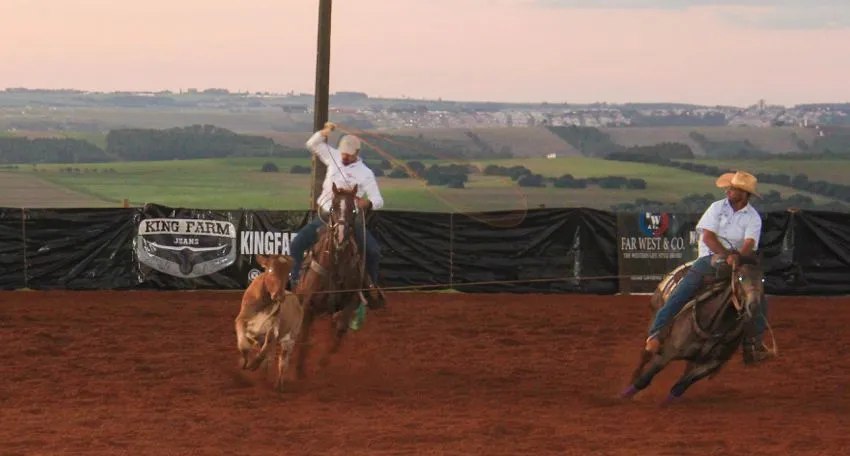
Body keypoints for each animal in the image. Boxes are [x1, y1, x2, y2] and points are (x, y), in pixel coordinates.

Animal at [292, 183, 364, 380]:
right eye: (333, 207)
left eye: (353, 210)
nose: (340, 237)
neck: (335, 265)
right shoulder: (308, 307)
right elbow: (303, 337)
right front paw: (297, 371)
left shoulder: (350, 302)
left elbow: (340, 330)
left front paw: (322, 362)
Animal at [620, 255, 764, 404]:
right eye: (740, 278)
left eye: (762, 279)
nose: (754, 306)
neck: (715, 323)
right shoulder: (668, 352)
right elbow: (646, 378)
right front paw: (625, 395)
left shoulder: (712, 364)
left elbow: (682, 384)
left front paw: (668, 401)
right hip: (655, 319)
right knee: (645, 356)